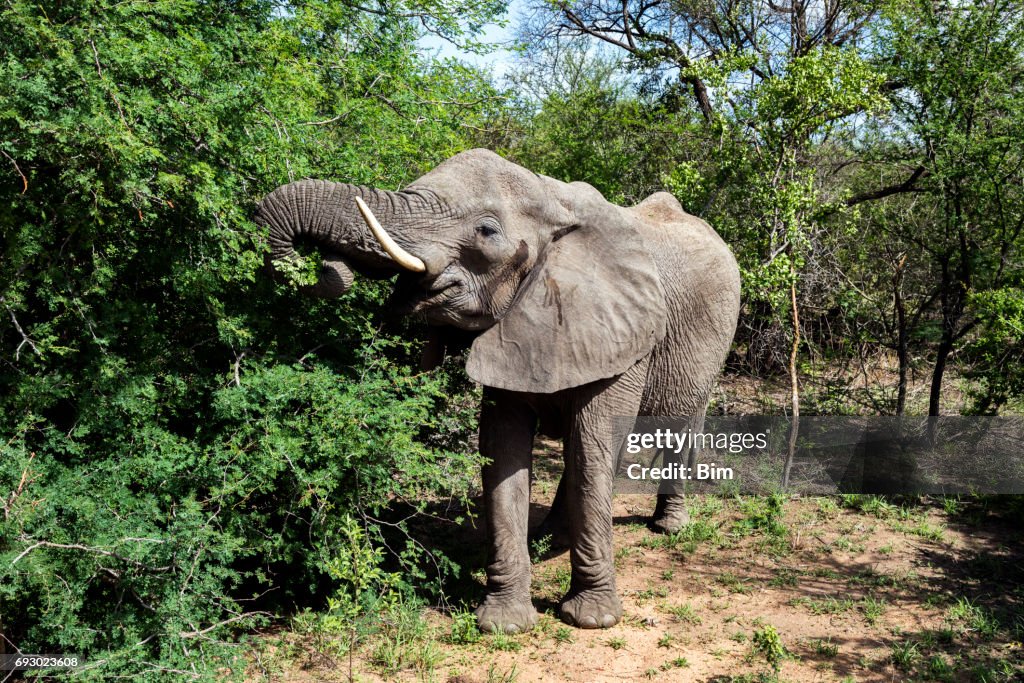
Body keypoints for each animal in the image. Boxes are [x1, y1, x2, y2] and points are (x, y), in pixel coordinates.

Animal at [253, 147, 737, 634]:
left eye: (486, 231)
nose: (323, 263)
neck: (554, 199)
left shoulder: (626, 336)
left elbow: (595, 448)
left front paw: (592, 619)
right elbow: (502, 449)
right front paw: (504, 624)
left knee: (679, 425)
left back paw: (667, 527)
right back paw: (550, 537)